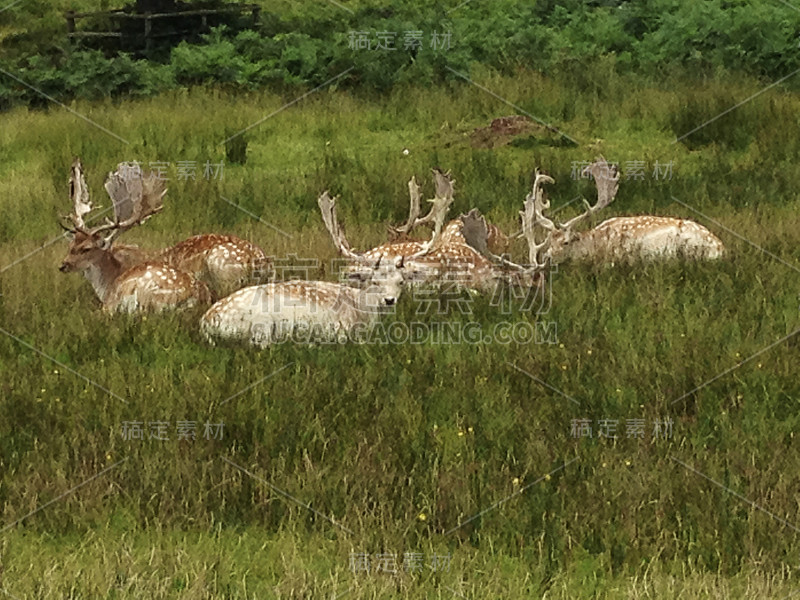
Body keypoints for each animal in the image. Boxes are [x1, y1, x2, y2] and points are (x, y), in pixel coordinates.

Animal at [59, 157, 212, 316]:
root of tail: (198, 297)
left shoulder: (110, 302)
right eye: (70, 246)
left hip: (146, 293)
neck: (108, 284)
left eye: (86, 248)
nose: (63, 265)